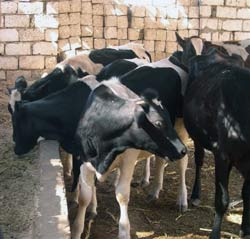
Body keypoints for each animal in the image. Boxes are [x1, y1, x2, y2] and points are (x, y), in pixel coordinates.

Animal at [11, 78, 187, 239]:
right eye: (158, 123)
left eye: (15, 120)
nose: (15, 148)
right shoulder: (83, 158)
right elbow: (85, 192)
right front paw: (84, 213)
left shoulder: (128, 160)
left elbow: (122, 195)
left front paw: (121, 230)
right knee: (160, 161)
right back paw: (152, 188)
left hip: (181, 130)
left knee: (182, 165)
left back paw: (182, 200)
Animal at [183, 49, 250, 238]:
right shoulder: (222, 154)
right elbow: (222, 199)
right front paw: (214, 234)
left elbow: (246, 193)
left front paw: (245, 229)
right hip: (197, 136)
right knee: (199, 160)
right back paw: (195, 195)